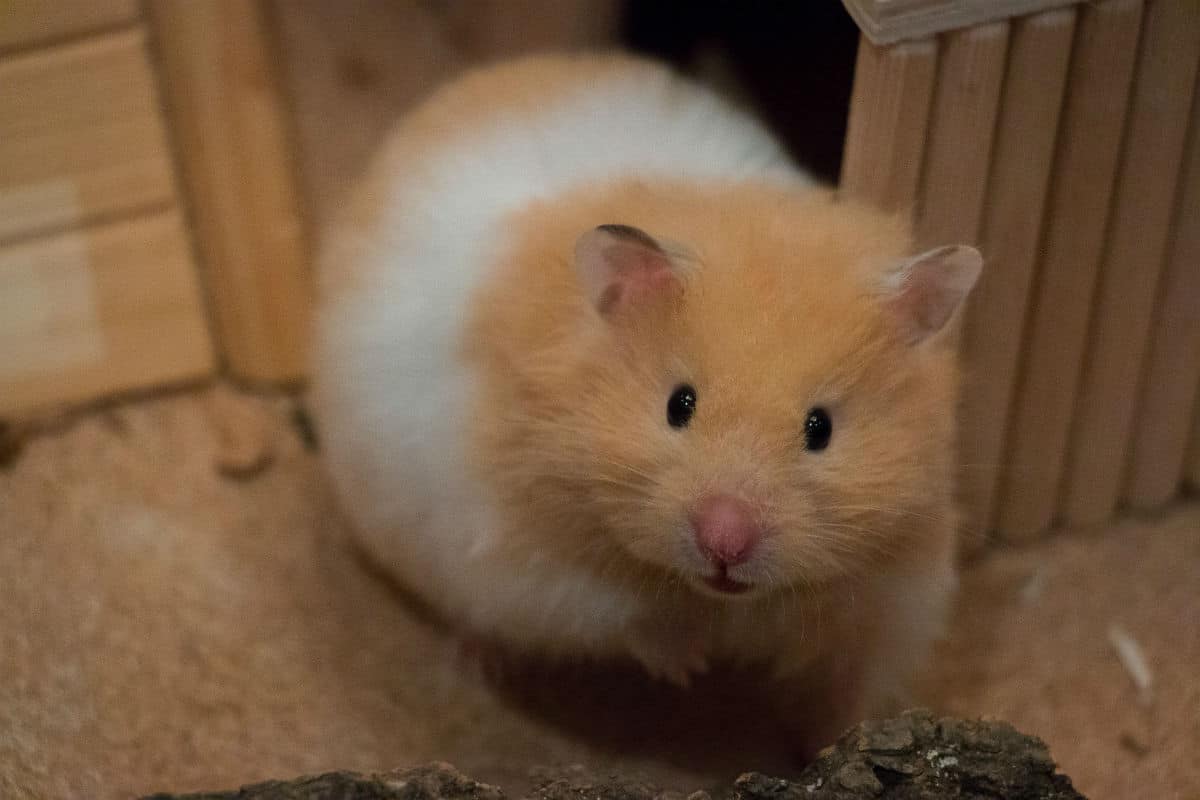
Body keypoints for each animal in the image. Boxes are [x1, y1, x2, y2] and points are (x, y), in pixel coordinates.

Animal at [310, 54, 981, 749]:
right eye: (678, 405)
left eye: (819, 428)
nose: (725, 541)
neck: (720, 598)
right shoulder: (532, 569)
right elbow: (624, 616)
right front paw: (690, 667)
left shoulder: (892, 598)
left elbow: (844, 683)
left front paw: (828, 734)